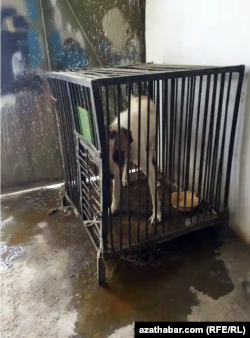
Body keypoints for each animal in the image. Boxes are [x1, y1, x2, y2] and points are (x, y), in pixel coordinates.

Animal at [108, 94, 161, 224]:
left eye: (118, 154)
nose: (109, 176)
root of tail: (143, 96)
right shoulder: (116, 168)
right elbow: (115, 192)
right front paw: (114, 207)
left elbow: (154, 194)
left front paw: (156, 214)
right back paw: (124, 178)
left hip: (151, 144)